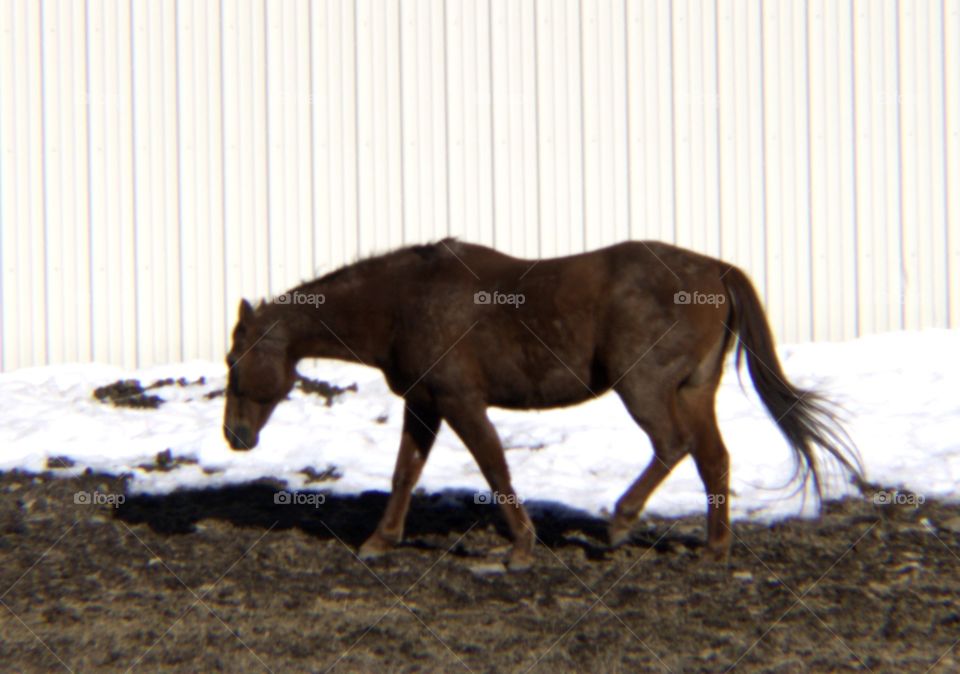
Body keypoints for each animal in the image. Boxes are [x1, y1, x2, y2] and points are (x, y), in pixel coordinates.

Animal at [223, 239, 863, 570]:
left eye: (233, 361)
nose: (235, 435)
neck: (407, 301)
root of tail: (717, 271)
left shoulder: (460, 402)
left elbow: (494, 467)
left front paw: (521, 547)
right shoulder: (425, 405)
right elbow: (405, 473)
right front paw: (381, 540)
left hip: (645, 389)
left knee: (672, 445)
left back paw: (621, 522)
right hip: (693, 390)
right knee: (713, 459)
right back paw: (713, 547)